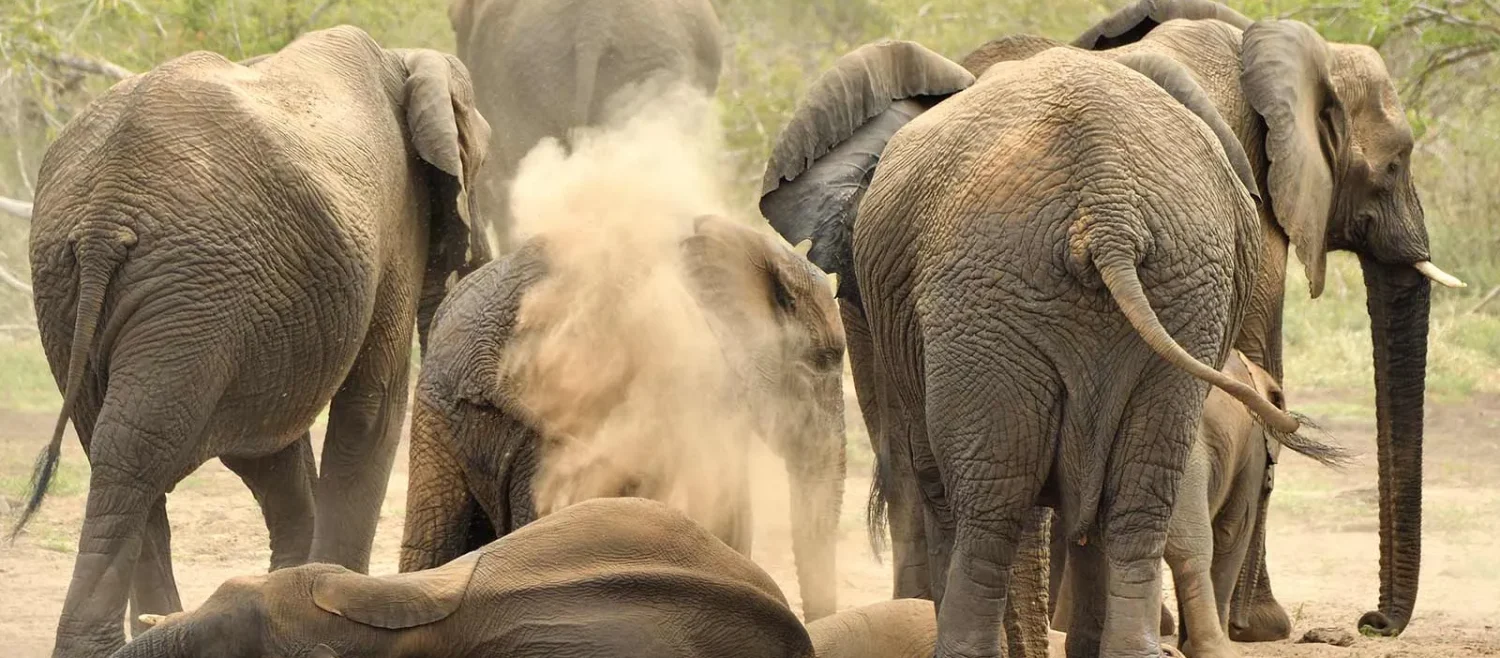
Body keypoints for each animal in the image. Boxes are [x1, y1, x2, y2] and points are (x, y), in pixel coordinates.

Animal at [17, 26, 489, 658]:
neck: (403, 59)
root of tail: (104, 214)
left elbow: (268, 446)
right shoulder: (397, 221)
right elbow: (371, 408)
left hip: (90, 288)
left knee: (115, 449)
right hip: (192, 289)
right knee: (136, 449)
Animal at [760, 38, 1301, 657]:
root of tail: (1107, 206)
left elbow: (933, 471)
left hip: (995, 292)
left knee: (990, 499)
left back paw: (964, 647)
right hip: (1173, 289)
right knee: (1136, 493)